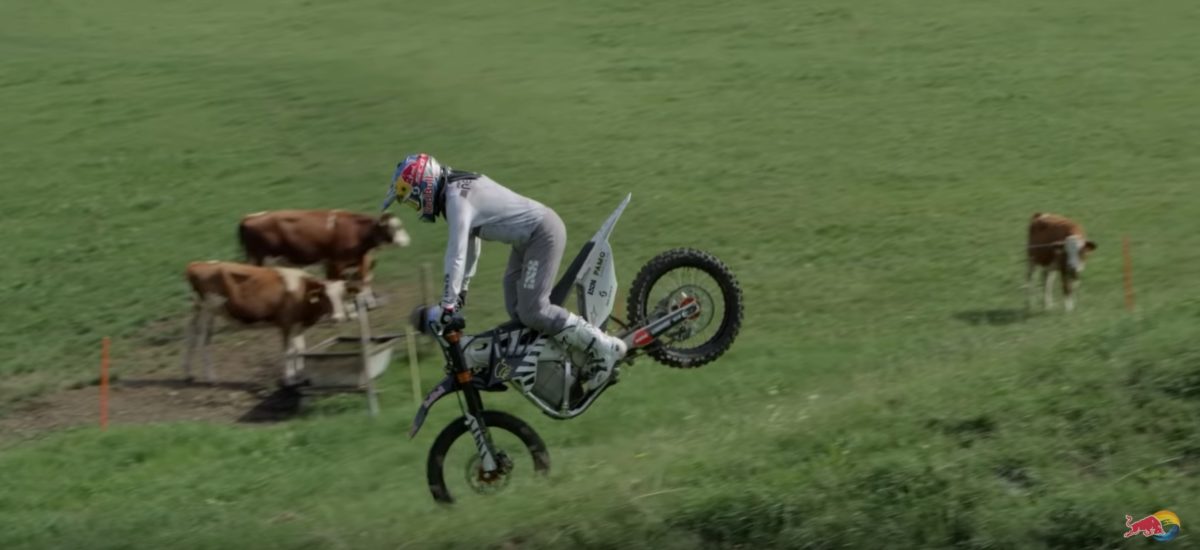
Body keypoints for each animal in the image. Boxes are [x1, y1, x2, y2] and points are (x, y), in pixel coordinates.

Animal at [182, 260, 350, 381]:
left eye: (342, 296)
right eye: (325, 296)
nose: (338, 318)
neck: (301, 291)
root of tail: (198, 264)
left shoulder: (298, 325)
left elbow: (300, 349)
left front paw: (301, 373)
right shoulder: (286, 323)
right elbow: (289, 351)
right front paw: (289, 378)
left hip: (198, 309)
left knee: (191, 335)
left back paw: (188, 373)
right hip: (208, 309)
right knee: (203, 339)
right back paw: (210, 377)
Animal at [236, 208, 410, 307]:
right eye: (395, 227)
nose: (407, 241)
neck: (357, 231)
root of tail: (249, 217)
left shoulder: (352, 262)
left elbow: (361, 280)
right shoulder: (336, 262)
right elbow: (338, 283)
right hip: (259, 259)